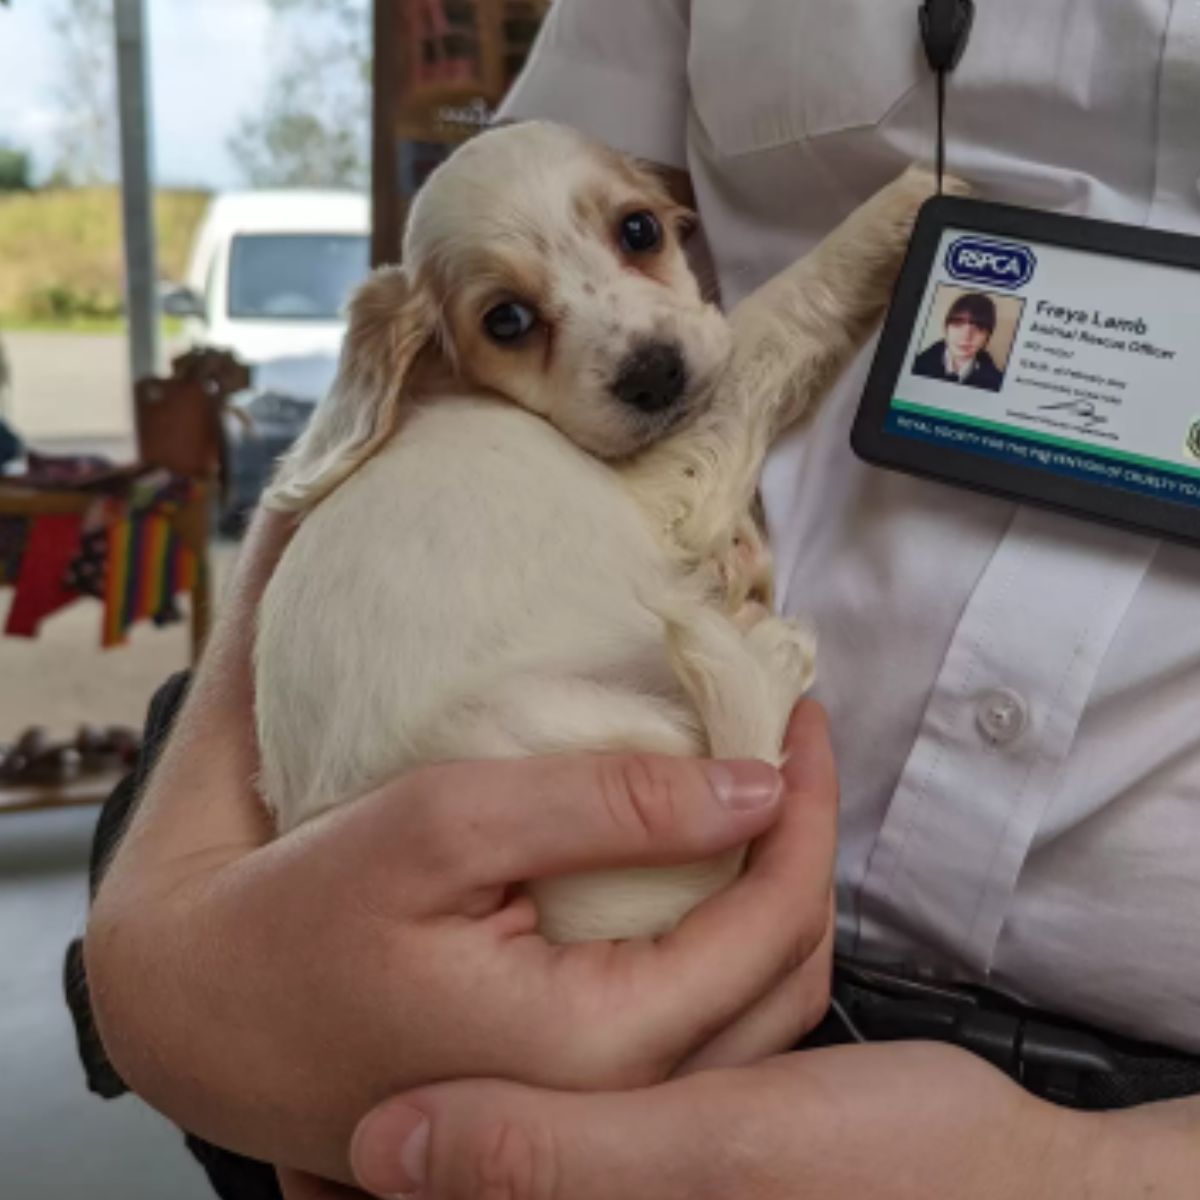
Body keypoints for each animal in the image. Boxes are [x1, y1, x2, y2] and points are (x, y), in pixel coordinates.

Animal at [258, 121, 950, 945]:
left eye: (640, 230)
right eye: (507, 320)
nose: (655, 375)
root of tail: (590, 908)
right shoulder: (677, 480)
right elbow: (774, 313)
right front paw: (902, 207)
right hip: (592, 721)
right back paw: (765, 641)